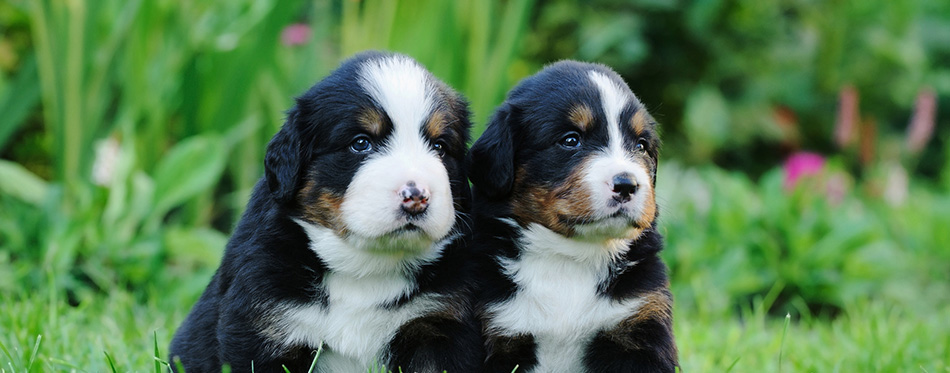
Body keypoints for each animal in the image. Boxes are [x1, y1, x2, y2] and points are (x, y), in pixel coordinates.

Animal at [169, 51, 484, 372]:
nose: (417, 196)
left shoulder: (437, 324)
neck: (365, 268)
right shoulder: (262, 325)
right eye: (361, 143)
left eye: (439, 146)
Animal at [466, 59, 676, 370]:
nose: (627, 184)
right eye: (571, 140)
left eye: (641, 145)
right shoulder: (501, 328)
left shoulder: (640, 322)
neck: (570, 257)